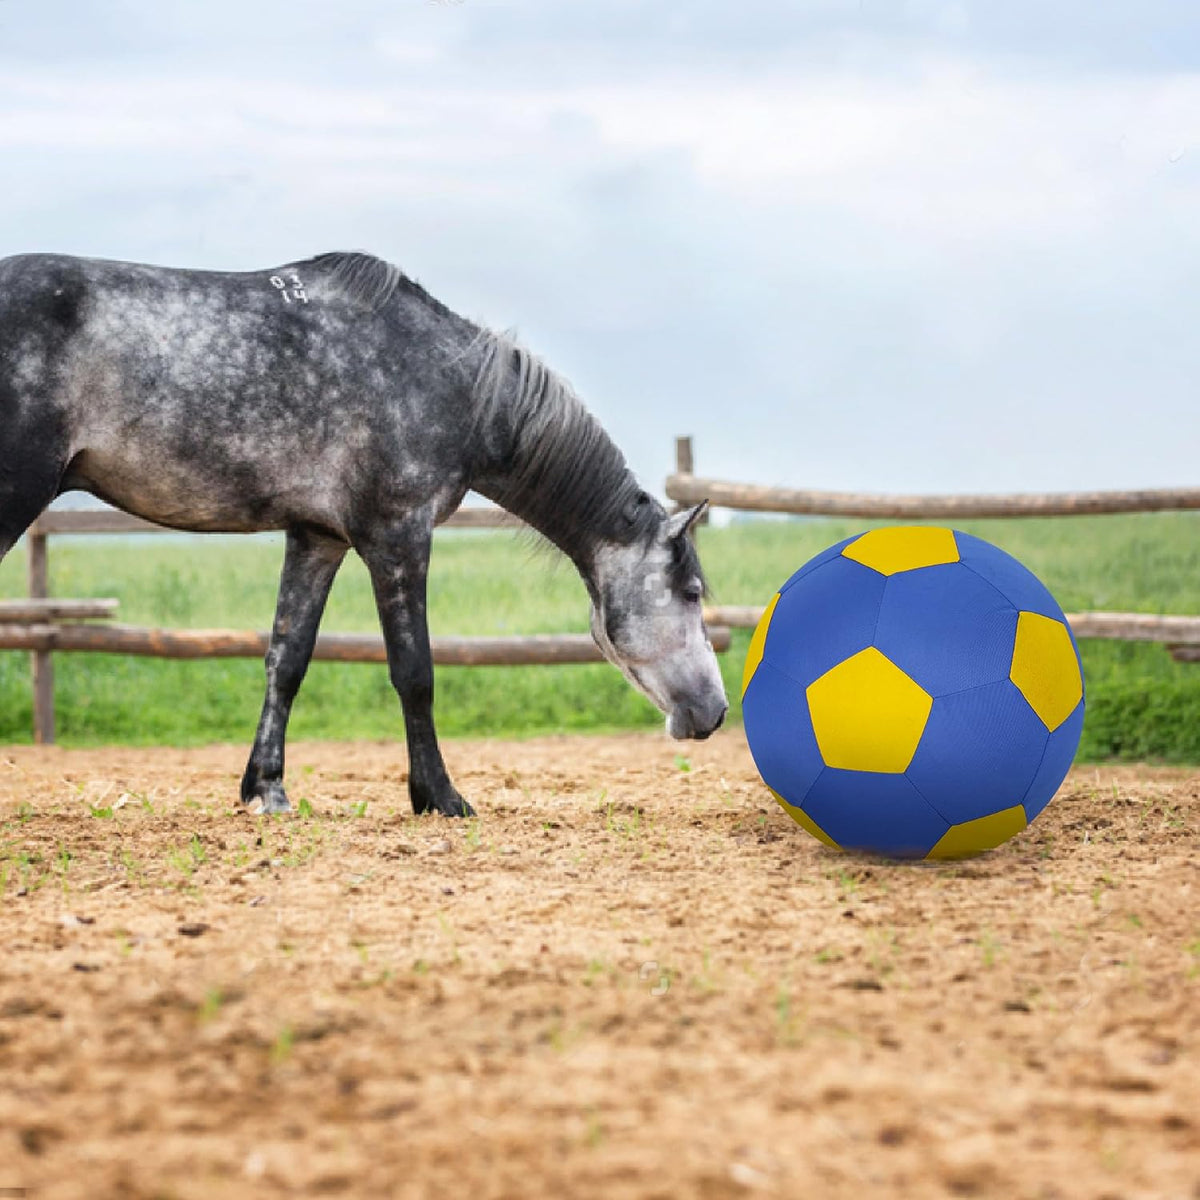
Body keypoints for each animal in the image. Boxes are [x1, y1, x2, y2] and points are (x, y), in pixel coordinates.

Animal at [0, 251, 728, 816]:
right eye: (692, 592)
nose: (717, 712)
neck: (451, 383)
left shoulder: (317, 536)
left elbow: (286, 659)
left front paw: (266, 790)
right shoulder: (397, 536)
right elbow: (415, 671)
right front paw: (440, 797)